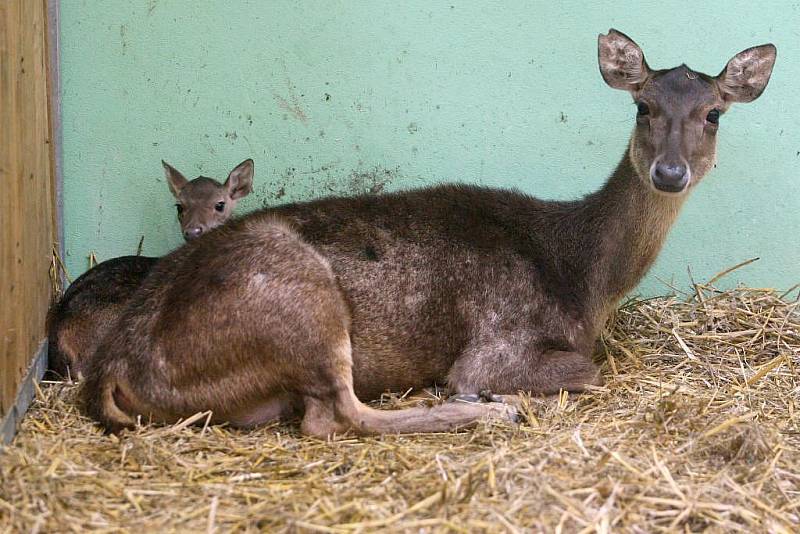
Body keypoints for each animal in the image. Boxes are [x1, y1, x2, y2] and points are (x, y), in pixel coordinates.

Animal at [81, 30, 776, 440]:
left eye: (714, 113)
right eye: (643, 106)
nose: (669, 172)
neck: (583, 279)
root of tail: (114, 365)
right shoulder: (498, 338)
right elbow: (585, 369)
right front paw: (488, 391)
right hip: (301, 300)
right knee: (334, 417)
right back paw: (486, 408)